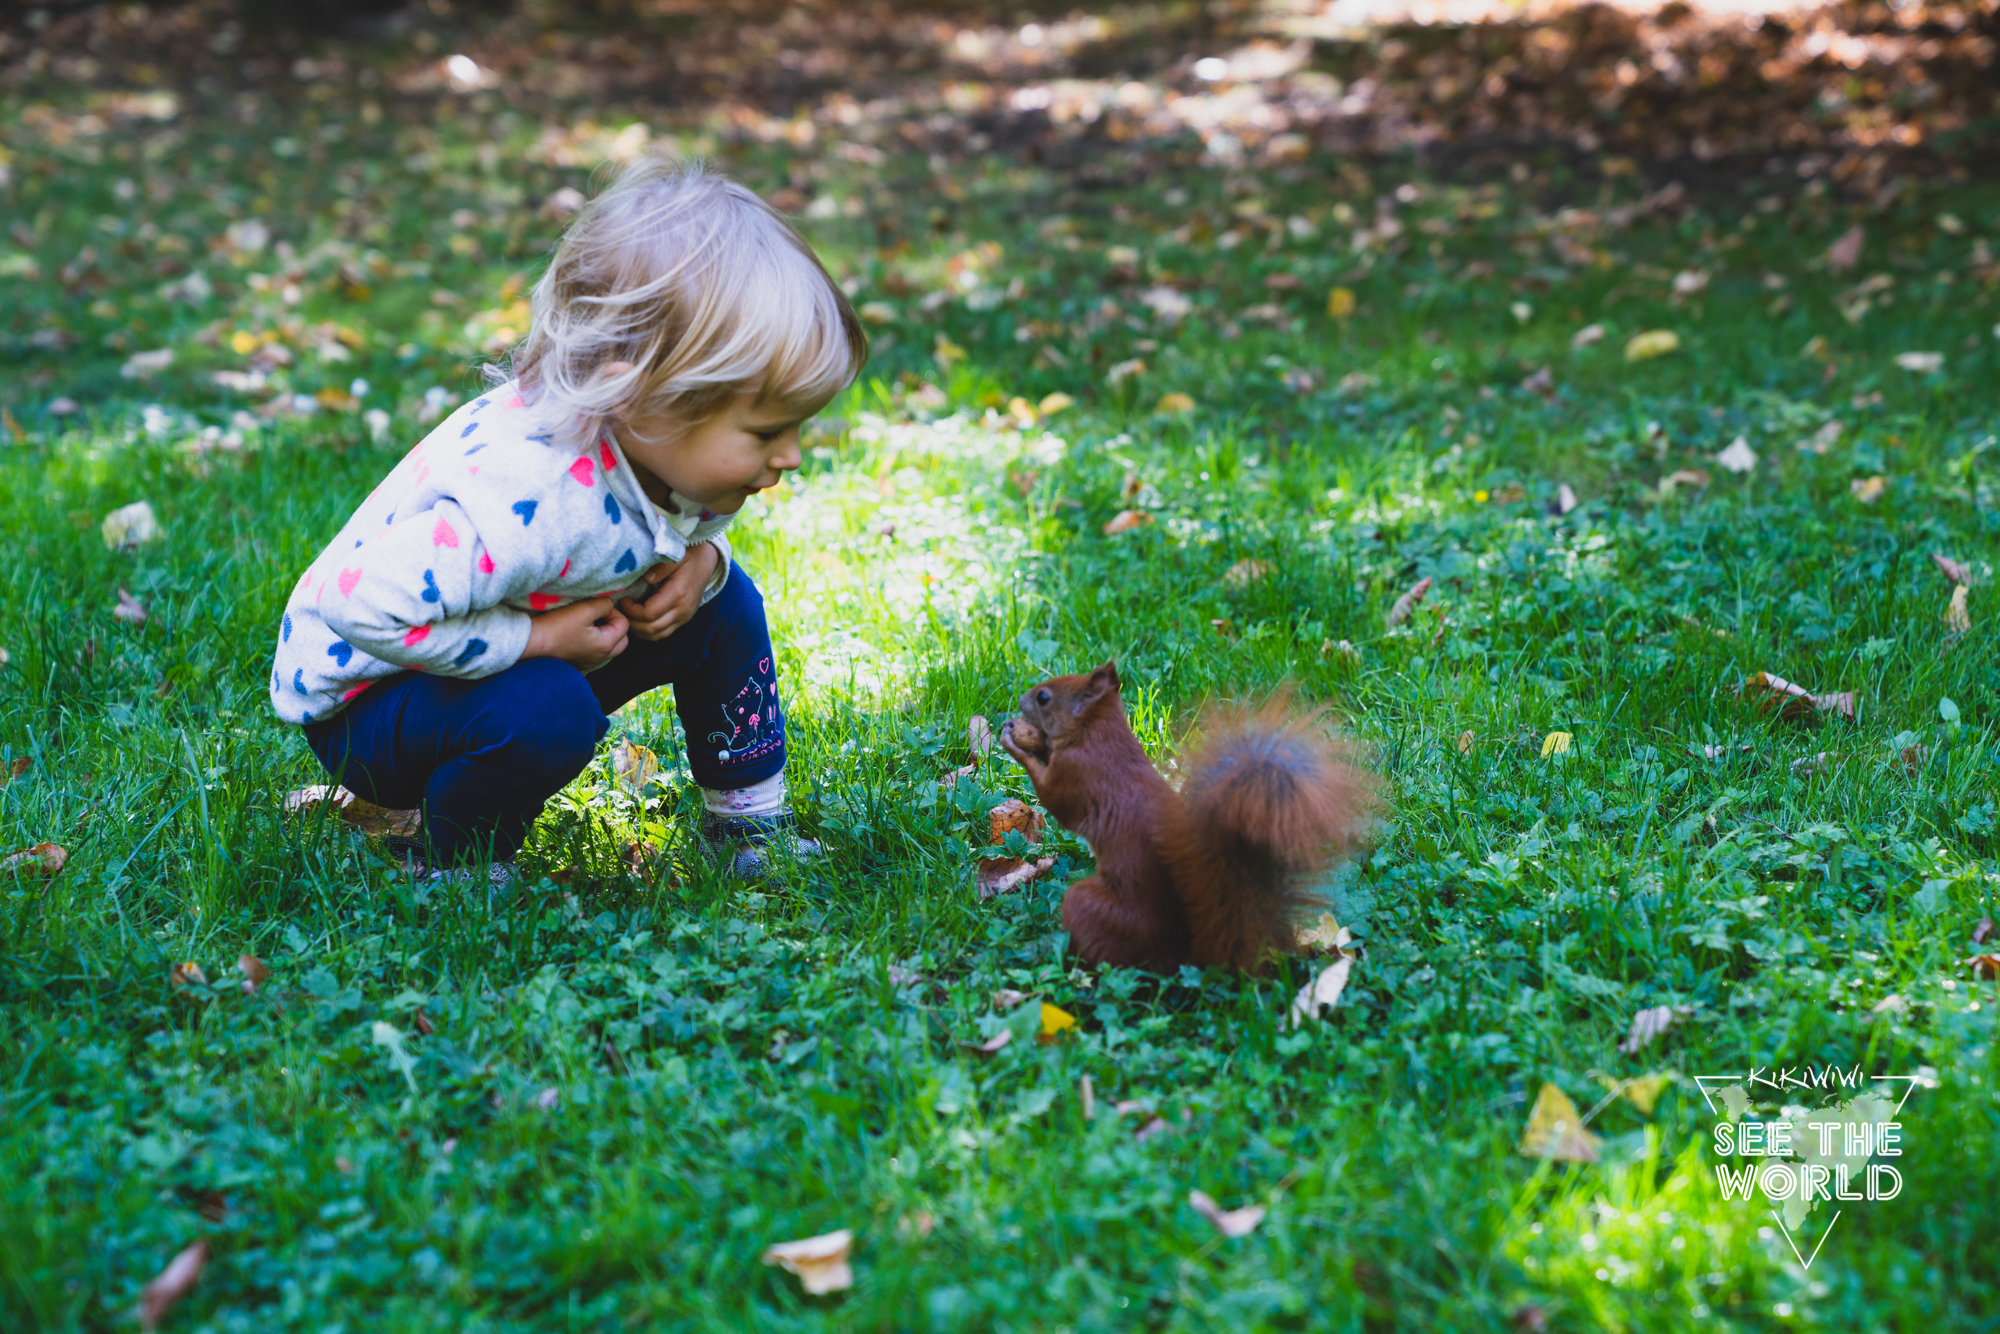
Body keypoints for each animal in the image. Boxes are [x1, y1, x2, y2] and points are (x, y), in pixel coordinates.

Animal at [1000, 664, 1376, 976]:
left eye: (1044, 697)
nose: (1019, 700)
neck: (1098, 735)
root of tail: (1187, 953)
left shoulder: (1075, 773)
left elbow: (1055, 799)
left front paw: (1014, 742)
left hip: (1092, 907)